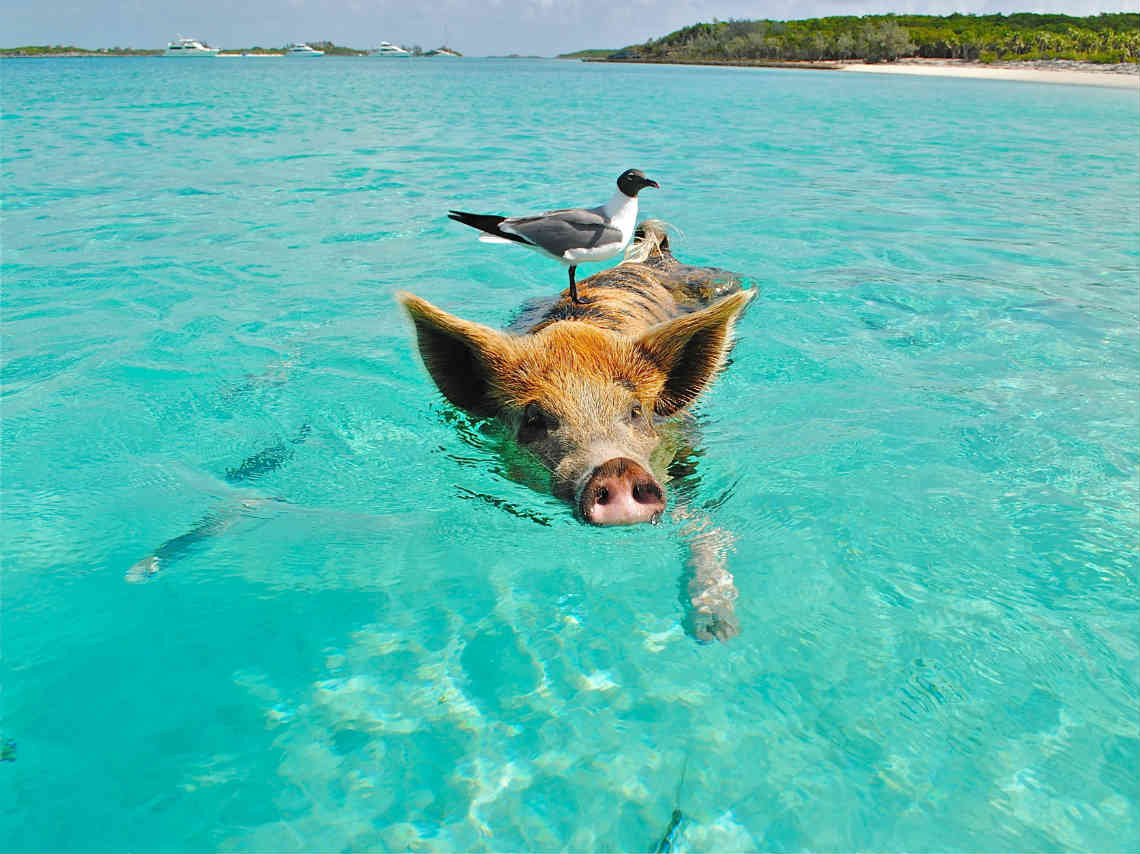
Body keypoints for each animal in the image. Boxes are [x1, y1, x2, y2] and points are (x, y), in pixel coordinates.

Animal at [396, 220, 752, 638]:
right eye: (534, 419)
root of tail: (650, 257)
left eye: (636, 411)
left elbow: (703, 525)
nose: (616, 467)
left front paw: (716, 631)